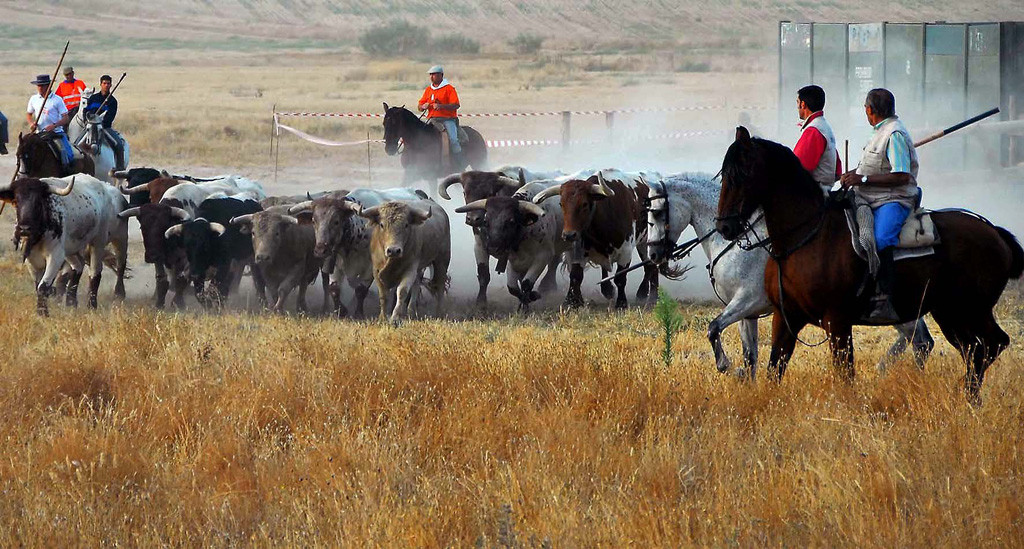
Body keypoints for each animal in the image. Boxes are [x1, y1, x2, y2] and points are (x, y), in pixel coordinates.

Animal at [647, 174, 937, 374]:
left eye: (658, 213)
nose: (653, 254)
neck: (734, 241)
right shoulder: (747, 313)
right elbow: (750, 357)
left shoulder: (747, 301)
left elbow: (713, 328)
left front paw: (725, 366)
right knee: (919, 340)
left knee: (920, 341)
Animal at [712, 128, 1024, 403]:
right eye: (724, 174)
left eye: (742, 174)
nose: (726, 227)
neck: (807, 235)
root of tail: (995, 233)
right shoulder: (786, 317)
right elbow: (775, 367)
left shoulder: (837, 322)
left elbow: (845, 374)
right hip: (950, 313)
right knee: (975, 348)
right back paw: (969, 398)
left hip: (971, 310)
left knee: (991, 344)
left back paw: (968, 395)